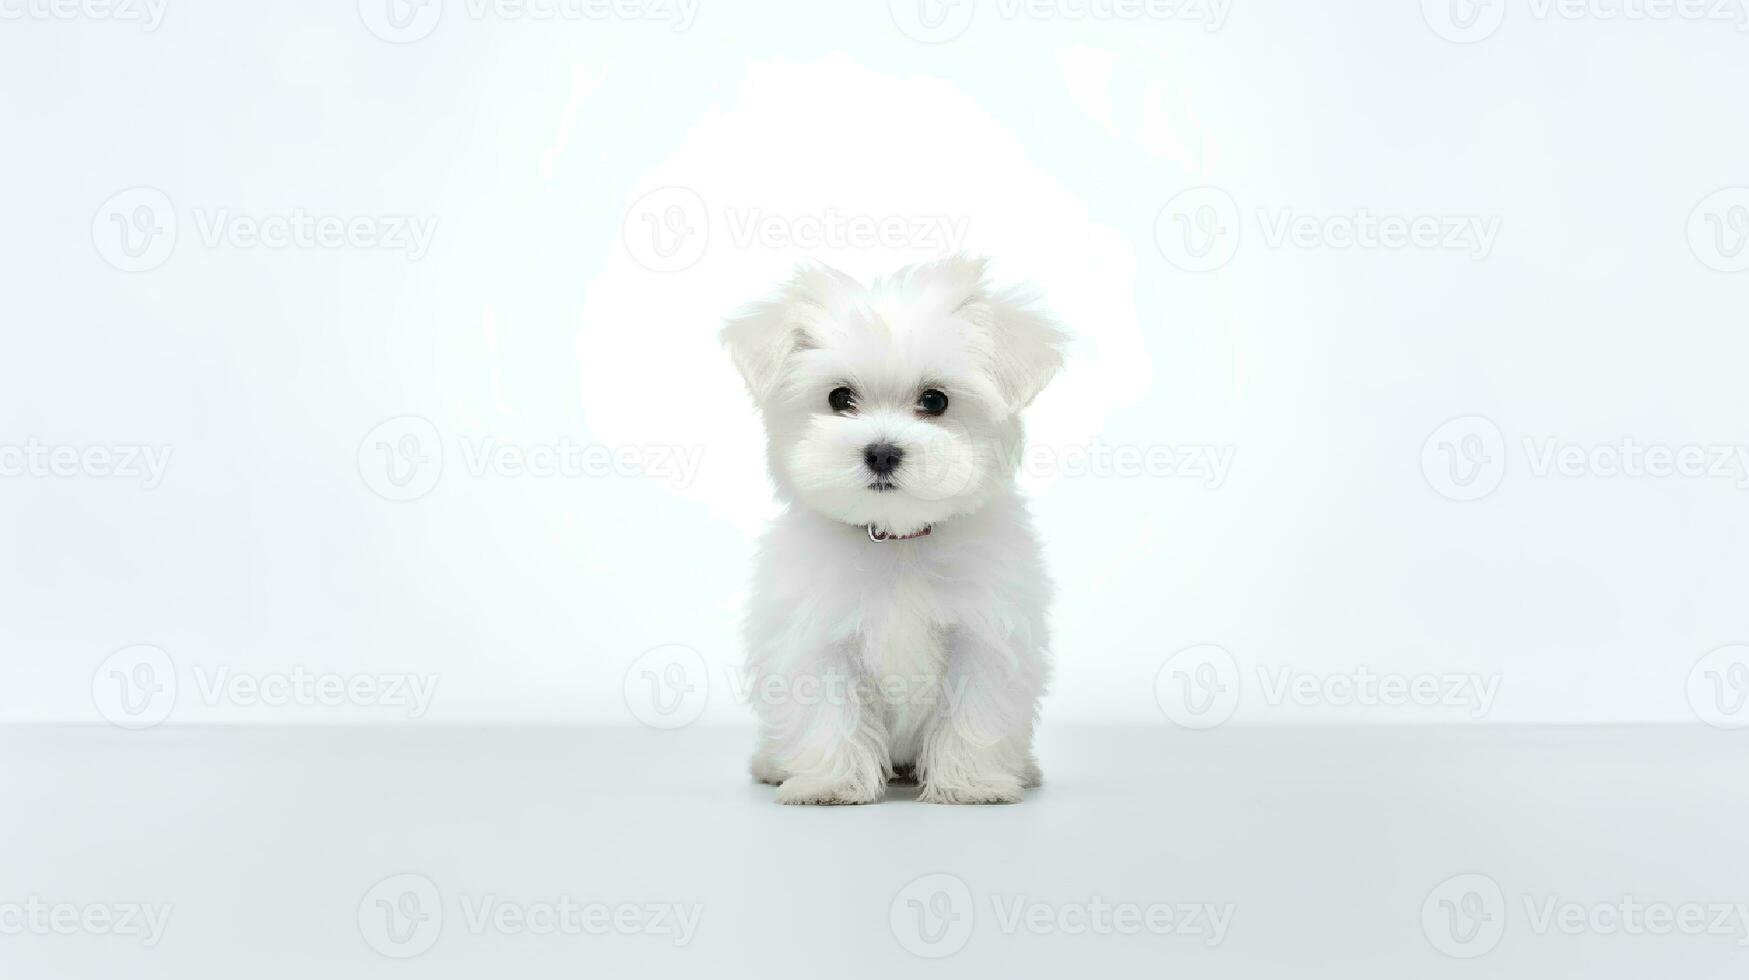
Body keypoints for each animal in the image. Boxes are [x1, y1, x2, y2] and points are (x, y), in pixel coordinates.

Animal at [724, 253, 1063, 805]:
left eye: (936, 401)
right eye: (840, 397)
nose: (881, 452)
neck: (895, 540)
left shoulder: (983, 636)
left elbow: (975, 713)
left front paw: (970, 784)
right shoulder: (819, 638)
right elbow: (828, 712)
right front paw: (831, 783)